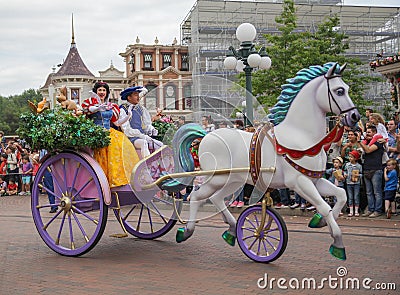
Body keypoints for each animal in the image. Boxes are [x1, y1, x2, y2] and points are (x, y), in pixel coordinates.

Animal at [173, 63, 360, 262]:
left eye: (347, 88)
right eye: (339, 90)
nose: (355, 116)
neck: (303, 139)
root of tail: (206, 135)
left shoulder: (315, 180)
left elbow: (341, 195)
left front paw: (321, 221)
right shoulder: (299, 182)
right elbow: (324, 206)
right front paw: (337, 243)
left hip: (234, 180)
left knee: (216, 198)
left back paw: (231, 230)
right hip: (218, 179)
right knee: (196, 197)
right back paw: (186, 231)